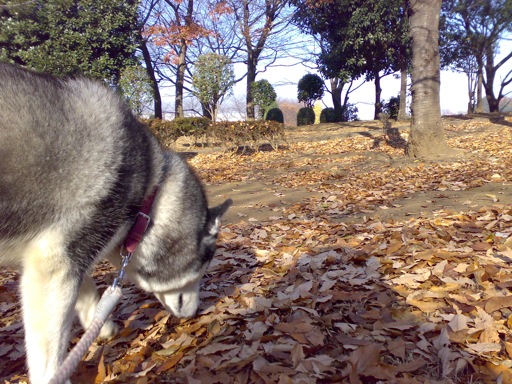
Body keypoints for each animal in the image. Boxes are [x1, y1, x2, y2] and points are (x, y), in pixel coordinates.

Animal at [0, 63, 232, 384]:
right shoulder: (55, 263)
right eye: (203, 269)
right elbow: (50, 356)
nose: (194, 314)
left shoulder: (67, 254)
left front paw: (100, 322)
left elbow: (85, 291)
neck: (150, 196)